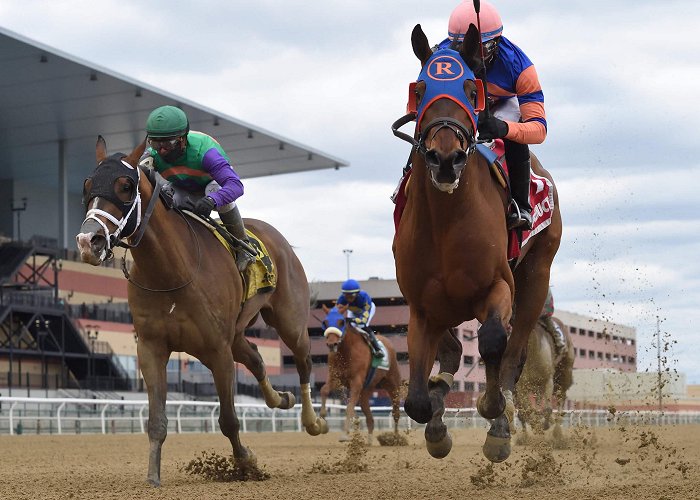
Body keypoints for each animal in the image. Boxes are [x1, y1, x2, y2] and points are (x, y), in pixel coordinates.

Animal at [75, 137, 326, 484]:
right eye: (87, 185)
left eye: (125, 186)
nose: (89, 241)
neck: (171, 274)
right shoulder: (151, 348)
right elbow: (156, 421)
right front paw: (153, 477)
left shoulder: (217, 349)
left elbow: (229, 419)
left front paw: (246, 462)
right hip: (236, 334)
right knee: (257, 359)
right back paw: (280, 397)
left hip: (289, 322)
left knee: (303, 363)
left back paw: (313, 421)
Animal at [316, 306, 400, 444]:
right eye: (325, 323)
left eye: (341, 322)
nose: (331, 344)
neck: (346, 352)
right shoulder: (335, 377)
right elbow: (324, 390)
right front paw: (322, 418)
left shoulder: (356, 382)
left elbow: (349, 407)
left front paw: (345, 434)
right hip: (366, 391)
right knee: (370, 418)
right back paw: (370, 441)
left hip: (392, 382)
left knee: (396, 410)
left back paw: (396, 438)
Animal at [394, 23, 564, 460]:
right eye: (420, 89)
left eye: (472, 89)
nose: (445, 158)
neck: (446, 224)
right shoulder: (421, 306)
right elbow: (417, 399)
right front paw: (437, 418)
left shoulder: (499, 286)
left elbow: (492, 341)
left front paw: (494, 413)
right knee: (454, 354)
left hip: (536, 275)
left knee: (513, 352)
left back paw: (501, 421)